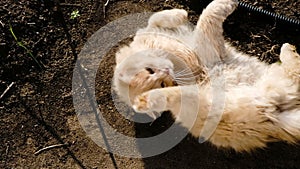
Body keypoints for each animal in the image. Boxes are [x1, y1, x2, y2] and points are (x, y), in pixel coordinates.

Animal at [113, 0, 300, 152]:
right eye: (161, 83)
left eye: (150, 70)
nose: (167, 72)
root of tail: (274, 119)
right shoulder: (206, 49)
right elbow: (207, 16)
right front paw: (226, 3)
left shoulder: (151, 32)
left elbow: (155, 19)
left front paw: (179, 14)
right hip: (201, 99)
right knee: (295, 72)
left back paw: (288, 50)